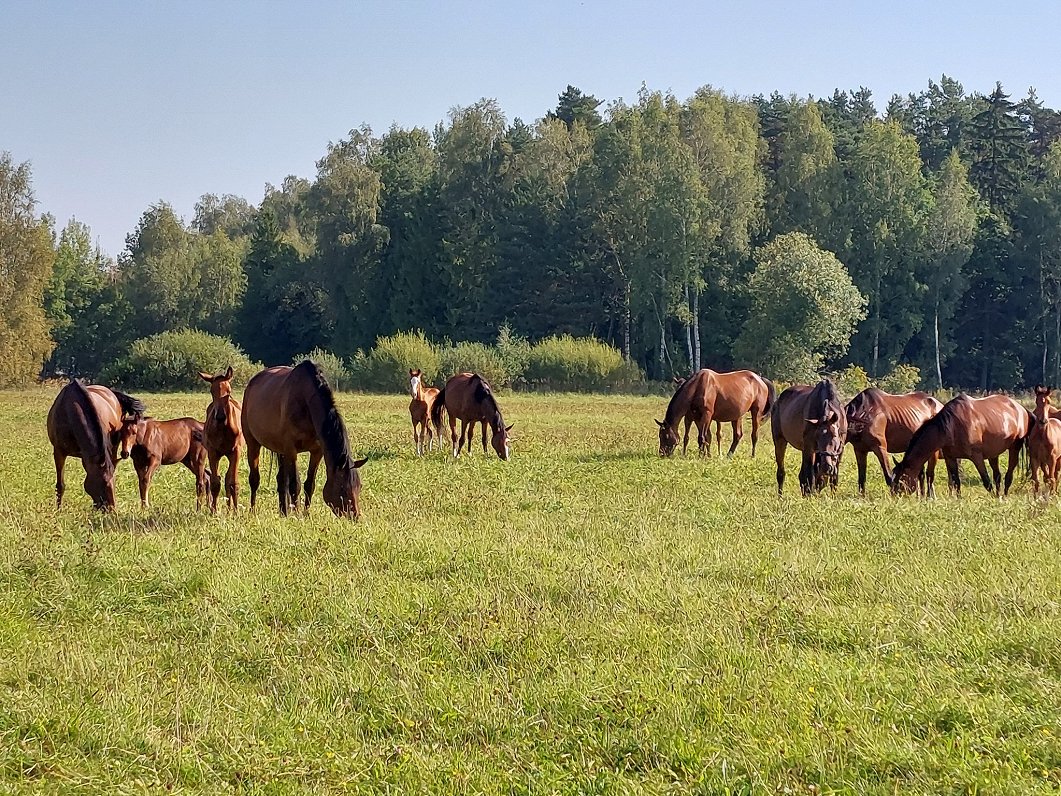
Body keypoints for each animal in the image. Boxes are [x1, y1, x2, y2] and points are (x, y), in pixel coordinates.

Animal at [46, 379, 145, 511]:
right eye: (102, 483)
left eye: (113, 483)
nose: (112, 510)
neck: (70, 412)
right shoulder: (59, 452)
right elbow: (60, 484)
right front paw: (58, 510)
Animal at [198, 367, 241, 511]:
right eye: (212, 391)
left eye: (229, 391)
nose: (221, 416)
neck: (223, 428)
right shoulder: (212, 452)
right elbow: (215, 482)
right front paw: (214, 510)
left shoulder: (236, 451)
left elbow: (233, 482)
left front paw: (236, 511)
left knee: (229, 479)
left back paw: (230, 508)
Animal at [241, 360, 369, 520]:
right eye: (342, 488)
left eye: (359, 486)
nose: (355, 516)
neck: (306, 402)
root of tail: (251, 383)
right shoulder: (291, 450)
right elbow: (295, 484)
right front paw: (296, 514)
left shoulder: (316, 451)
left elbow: (309, 484)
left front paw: (305, 514)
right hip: (253, 443)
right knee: (255, 479)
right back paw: (253, 510)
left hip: (281, 450)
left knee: (281, 480)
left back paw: (284, 511)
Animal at [891, 394, 1031, 498]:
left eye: (901, 478)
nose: (894, 496)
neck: (952, 425)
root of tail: (1022, 409)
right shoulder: (950, 458)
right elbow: (956, 481)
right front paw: (958, 499)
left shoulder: (977, 457)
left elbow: (986, 481)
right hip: (993, 454)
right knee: (997, 476)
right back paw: (999, 495)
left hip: (1014, 448)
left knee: (1008, 474)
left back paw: (1004, 495)